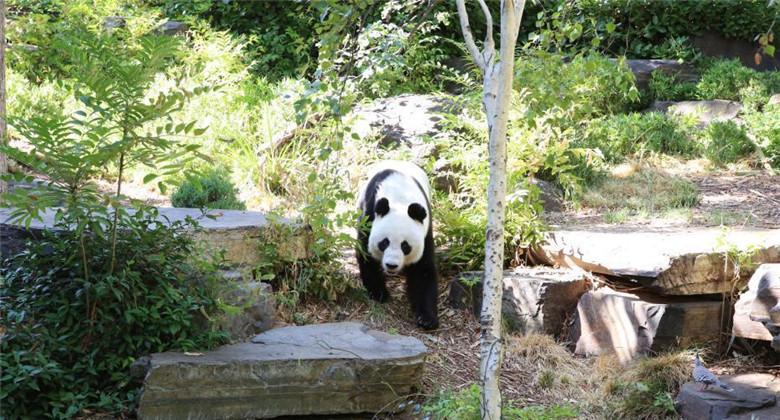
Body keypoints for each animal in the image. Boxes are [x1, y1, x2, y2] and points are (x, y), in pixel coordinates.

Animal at [358, 159, 438, 330]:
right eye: (384, 243)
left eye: (405, 246)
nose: (391, 265)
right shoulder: (369, 214)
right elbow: (366, 254)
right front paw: (379, 293)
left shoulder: (426, 227)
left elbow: (423, 269)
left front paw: (427, 318)